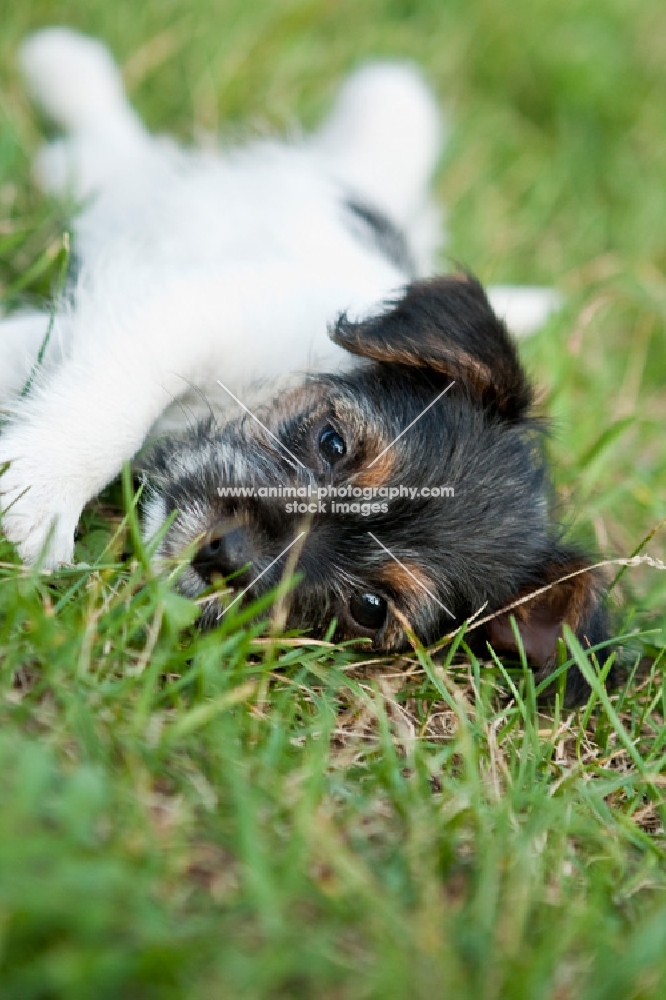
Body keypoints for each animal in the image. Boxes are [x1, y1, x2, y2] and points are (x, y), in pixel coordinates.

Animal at [0, 27, 604, 700]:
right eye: (332, 444)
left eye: (369, 608)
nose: (225, 555)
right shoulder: (197, 312)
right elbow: (113, 405)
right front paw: (38, 502)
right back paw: (63, 64)